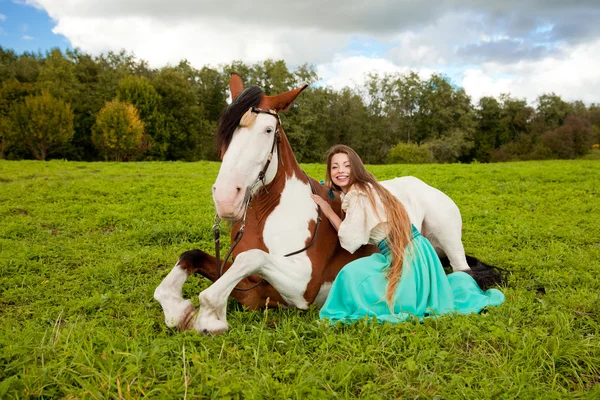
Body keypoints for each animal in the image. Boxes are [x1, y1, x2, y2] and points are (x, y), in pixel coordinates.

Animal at [154, 72, 502, 334]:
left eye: (267, 130)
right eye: (225, 132)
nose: (227, 198)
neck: (268, 217)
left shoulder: (300, 290)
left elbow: (250, 258)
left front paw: (210, 316)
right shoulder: (249, 285)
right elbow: (191, 256)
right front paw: (178, 307)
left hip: (449, 239)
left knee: (462, 274)